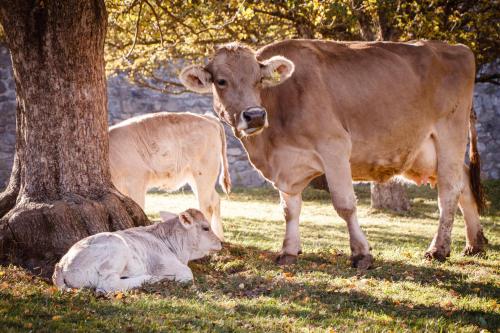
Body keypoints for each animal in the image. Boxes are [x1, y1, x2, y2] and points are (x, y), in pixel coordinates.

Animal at [52, 209, 221, 292]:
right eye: (206, 228)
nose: (220, 242)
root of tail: (61, 264)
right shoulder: (167, 265)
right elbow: (188, 273)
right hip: (117, 250)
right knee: (109, 286)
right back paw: (152, 278)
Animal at [179, 39, 484, 268]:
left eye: (259, 80)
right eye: (221, 81)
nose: (255, 116)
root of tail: (459, 48)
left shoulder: (334, 147)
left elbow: (345, 204)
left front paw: (361, 253)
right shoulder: (287, 167)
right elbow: (289, 210)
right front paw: (289, 250)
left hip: (450, 134)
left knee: (449, 191)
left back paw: (439, 249)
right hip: (426, 152)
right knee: (464, 183)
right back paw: (475, 242)